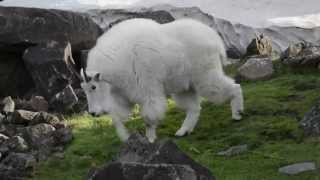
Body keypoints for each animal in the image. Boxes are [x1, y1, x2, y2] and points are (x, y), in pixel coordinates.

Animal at [81, 17, 244, 142]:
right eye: (84, 89)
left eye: (93, 87)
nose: (93, 113)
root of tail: (216, 40)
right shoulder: (124, 95)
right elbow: (117, 118)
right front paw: (125, 137)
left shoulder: (147, 90)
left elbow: (149, 117)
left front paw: (150, 139)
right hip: (184, 86)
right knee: (194, 108)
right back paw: (183, 131)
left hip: (205, 75)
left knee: (232, 87)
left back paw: (237, 114)